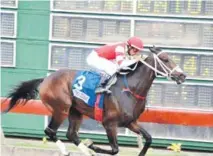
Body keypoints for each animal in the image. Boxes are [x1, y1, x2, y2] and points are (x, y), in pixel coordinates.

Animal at [3, 46, 186, 156]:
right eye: (165, 59)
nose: (183, 75)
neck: (131, 90)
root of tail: (46, 79)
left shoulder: (130, 122)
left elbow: (148, 139)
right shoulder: (109, 123)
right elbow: (115, 149)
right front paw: (93, 145)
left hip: (75, 112)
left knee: (71, 134)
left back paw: (86, 150)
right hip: (61, 108)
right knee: (50, 131)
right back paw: (70, 150)